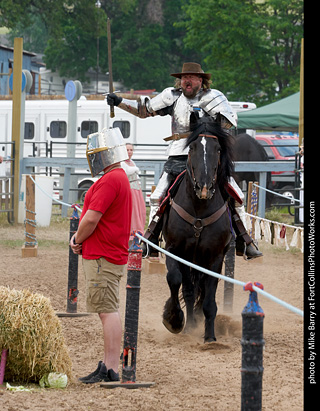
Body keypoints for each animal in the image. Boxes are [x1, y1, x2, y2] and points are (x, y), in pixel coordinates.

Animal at [162, 116, 232, 344]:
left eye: (218, 149)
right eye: (192, 147)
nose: (204, 187)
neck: (199, 208)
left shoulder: (215, 258)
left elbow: (209, 298)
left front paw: (209, 336)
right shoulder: (174, 250)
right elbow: (175, 280)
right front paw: (174, 319)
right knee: (189, 289)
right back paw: (189, 324)